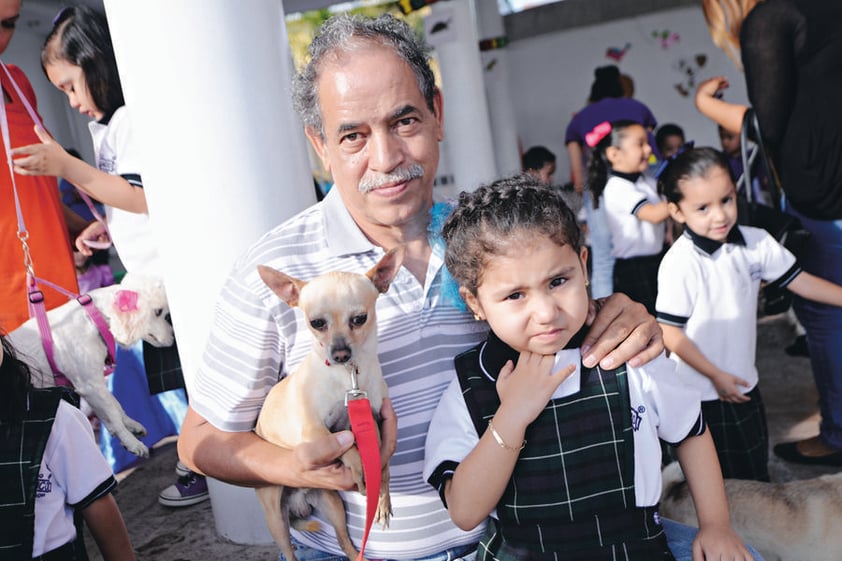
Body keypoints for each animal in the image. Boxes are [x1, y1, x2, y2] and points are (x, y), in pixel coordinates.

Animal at [7, 274, 175, 458]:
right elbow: (114, 415)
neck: (94, 318)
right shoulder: (90, 386)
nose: (174, 338)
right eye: (158, 312)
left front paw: (131, 426)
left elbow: (116, 406)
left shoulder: (95, 385)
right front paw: (132, 443)